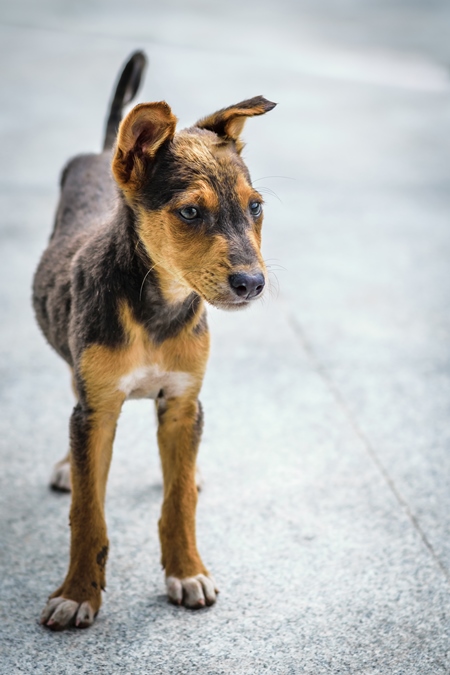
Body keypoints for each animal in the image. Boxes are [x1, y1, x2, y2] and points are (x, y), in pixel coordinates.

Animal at [33, 50, 276, 632]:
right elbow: (87, 511)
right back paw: (66, 466)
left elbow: (179, 500)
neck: (157, 308)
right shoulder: (98, 407)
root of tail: (105, 151)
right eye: (190, 212)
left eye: (255, 207)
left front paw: (187, 571)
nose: (253, 284)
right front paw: (78, 593)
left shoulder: (183, 400)